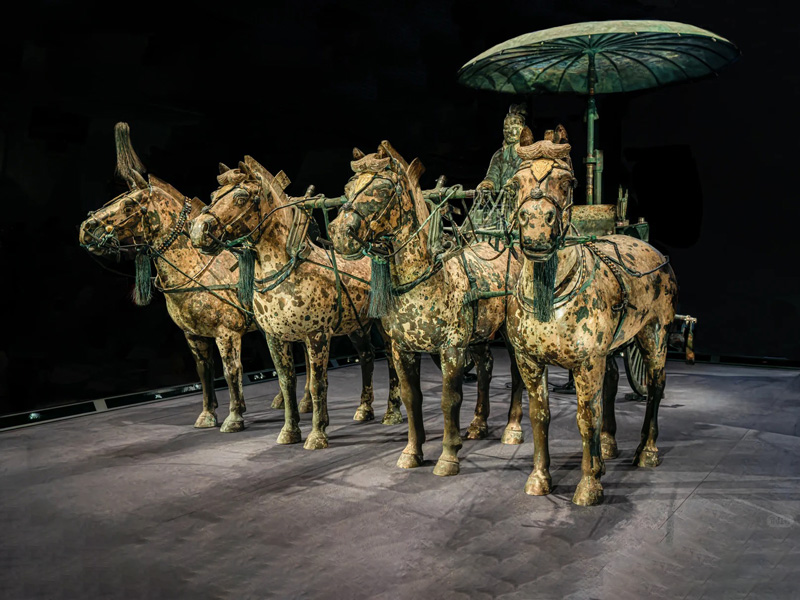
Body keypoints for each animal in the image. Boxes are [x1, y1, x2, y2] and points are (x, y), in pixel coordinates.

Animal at [78, 123, 318, 431]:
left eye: (129, 205)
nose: (86, 228)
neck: (196, 268)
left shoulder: (227, 334)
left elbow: (231, 371)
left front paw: (234, 416)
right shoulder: (193, 336)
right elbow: (204, 372)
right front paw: (207, 414)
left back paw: (307, 401)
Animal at [188, 155, 403, 450]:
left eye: (241, 197)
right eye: (213, 195)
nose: (199, 230)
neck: (290, 273)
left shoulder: (317, 336)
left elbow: (317, 384)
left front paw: (317, 434)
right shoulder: (275, 338)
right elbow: (287, 381)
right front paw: (289, 431)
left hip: (382, 325)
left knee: (391, 360)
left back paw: (392, 412)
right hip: (357, 327)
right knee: (367, 357)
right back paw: (364, 409)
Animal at [327, 141, 524, 477]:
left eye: (382, 188)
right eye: (348, 188)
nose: (339, 232)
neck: (428, 281)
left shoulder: (452, 349)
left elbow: (449, 399)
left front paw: (448, 456)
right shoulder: (402, 350)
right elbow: (411, 399)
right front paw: (411, 452)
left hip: (509, 337)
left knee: (517, 373)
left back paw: (513, 428)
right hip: (480, 336)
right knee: (485, 369)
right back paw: (478, 423)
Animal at [505, 133, 678, 506]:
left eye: (567, 182)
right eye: (515, 184)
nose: (536, 230)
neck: (551, 296)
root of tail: (655, 254)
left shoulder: (587, 363)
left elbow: (587, 417)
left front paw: (588, 485)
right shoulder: (529, 360)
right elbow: (540, 416)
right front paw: (540, 478)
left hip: (654, 335)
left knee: (655, 387)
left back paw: (647, 451)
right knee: (612, 381)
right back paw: (608, 447)